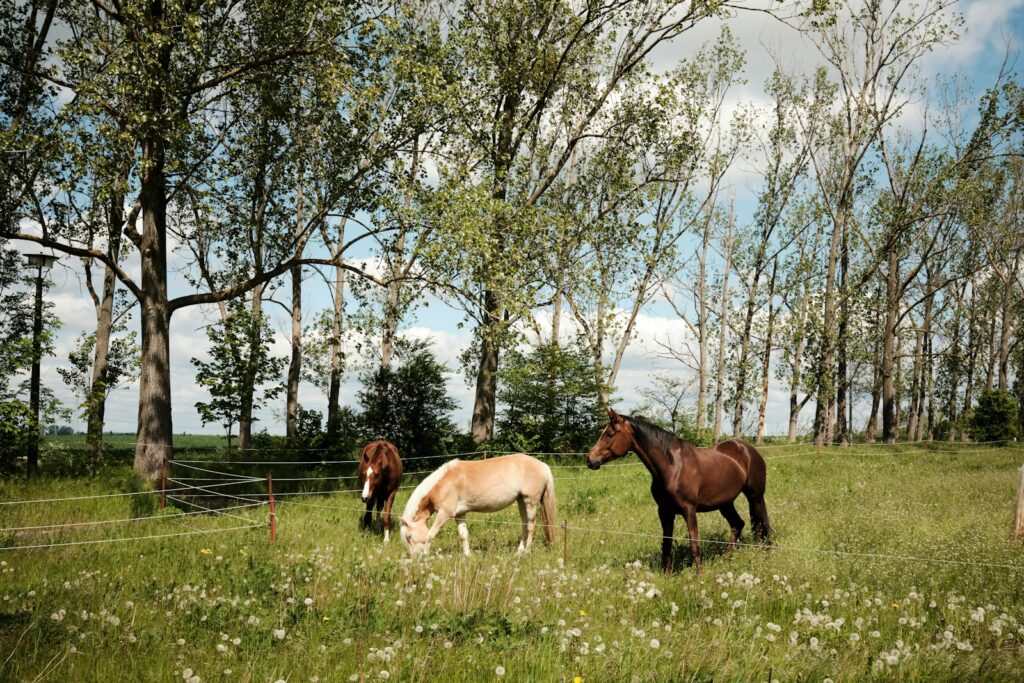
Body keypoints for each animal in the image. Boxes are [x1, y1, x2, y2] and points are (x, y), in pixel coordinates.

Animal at [398, 454, 556, 557]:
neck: (443, 483)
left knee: (531, 527)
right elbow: (463, 535)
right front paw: (467, 556)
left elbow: (430, 535)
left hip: (530, 501)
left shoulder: (445, 513)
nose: (415, 557)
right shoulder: (459, 514)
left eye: (409, 536)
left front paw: (426, 555)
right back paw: (519, 551)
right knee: (524, 526)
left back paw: (527, 552)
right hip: (521, 501)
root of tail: (543, 466)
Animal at [586, 408, 770, 573]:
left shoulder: (689, 510)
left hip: (755, 497)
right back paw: (725, 559)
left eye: (610, 434)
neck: (673, 467)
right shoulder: (664, 511)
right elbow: (666, 544)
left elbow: (694, 544)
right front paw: (667, 575)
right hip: (725, 503)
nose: (590, 459)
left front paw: (699, 576)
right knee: (738, 525)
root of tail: (748, 449)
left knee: (760, 525)